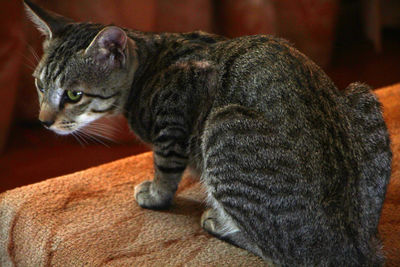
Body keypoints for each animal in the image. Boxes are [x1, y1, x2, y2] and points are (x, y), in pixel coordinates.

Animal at [23, 1, 392, 266]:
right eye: (39, 85)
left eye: (74, 95)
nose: (43, 121)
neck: (150, 64)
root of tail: (349, 247)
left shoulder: (176, 114)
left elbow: (165, 168)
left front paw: (155, 194)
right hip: (362, 96)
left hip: (221, 127)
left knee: (284, 254)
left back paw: (219, 222)